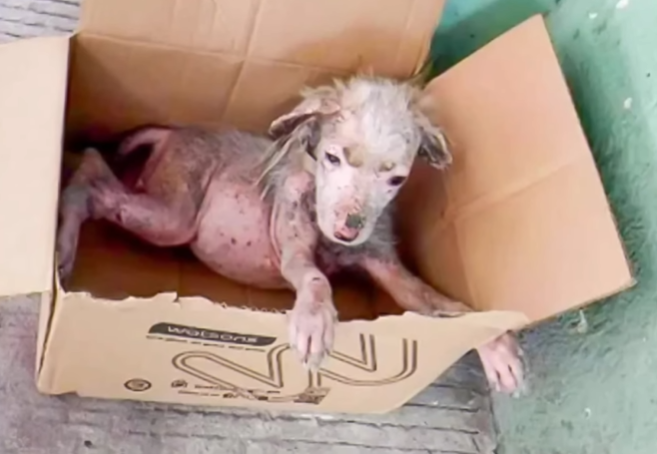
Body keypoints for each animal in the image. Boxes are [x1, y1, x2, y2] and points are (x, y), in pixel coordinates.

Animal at [57, 76, 524, 394]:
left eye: (396, 180)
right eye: (332, 158)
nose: (347, 229)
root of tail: (174, 130)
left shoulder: (386, 266)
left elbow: (448, 305)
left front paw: (499, 348)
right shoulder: (293, 245)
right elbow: (315, 277)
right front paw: (315, 320)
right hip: (174, 214)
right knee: (93, 170)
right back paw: (62, 242)